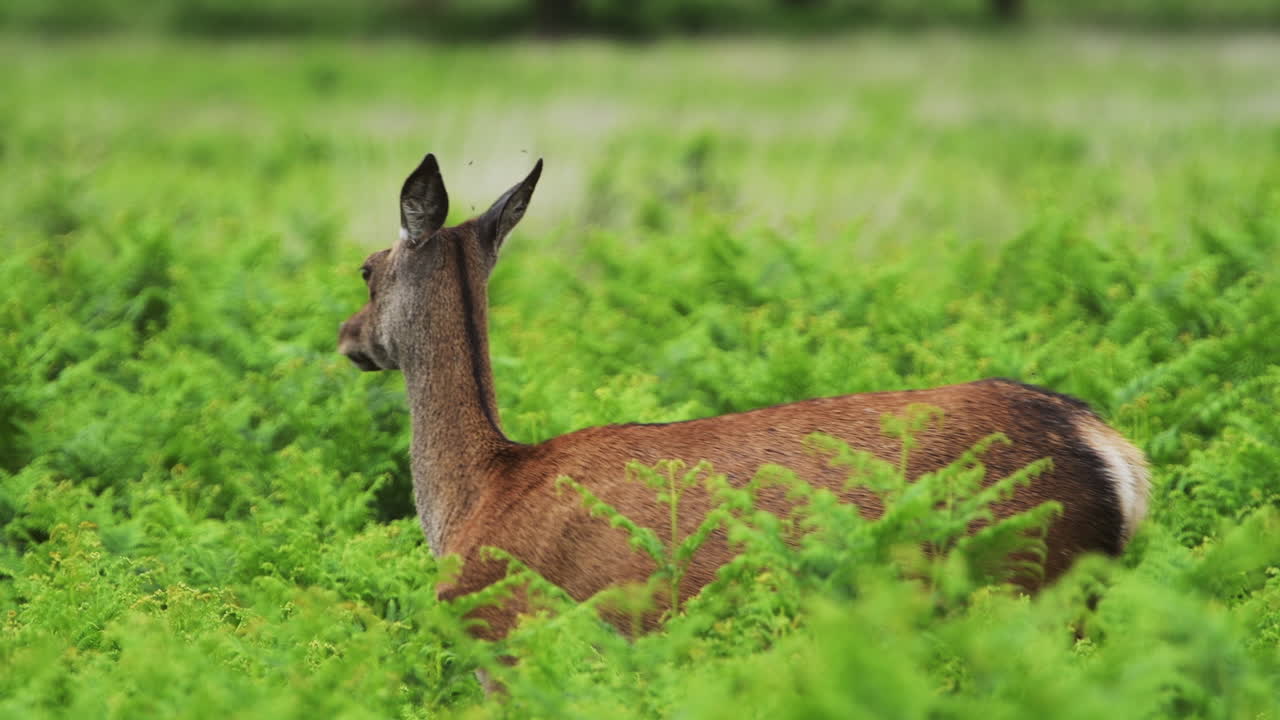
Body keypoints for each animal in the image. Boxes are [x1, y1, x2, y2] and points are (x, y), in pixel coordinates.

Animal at [337, 153, 1151, 642]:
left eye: (367, 269)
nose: (347, 334)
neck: (473, 497)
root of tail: (1115, 454)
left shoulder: (507, 635)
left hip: (1028, 585)